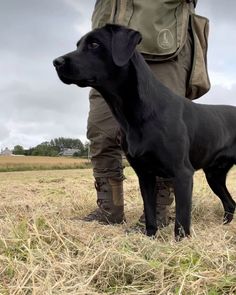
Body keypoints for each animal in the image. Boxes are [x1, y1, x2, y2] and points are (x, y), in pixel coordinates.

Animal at [53, 24, 236, 240]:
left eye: (95, 44)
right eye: (78, 45)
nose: (56, 62)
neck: (137, 114)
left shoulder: (182, 173)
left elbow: (181, 221)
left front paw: (181, 244)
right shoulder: (145, 175)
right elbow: (149, 212)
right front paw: (149, 236)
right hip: (214, 175)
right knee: (230, 204)